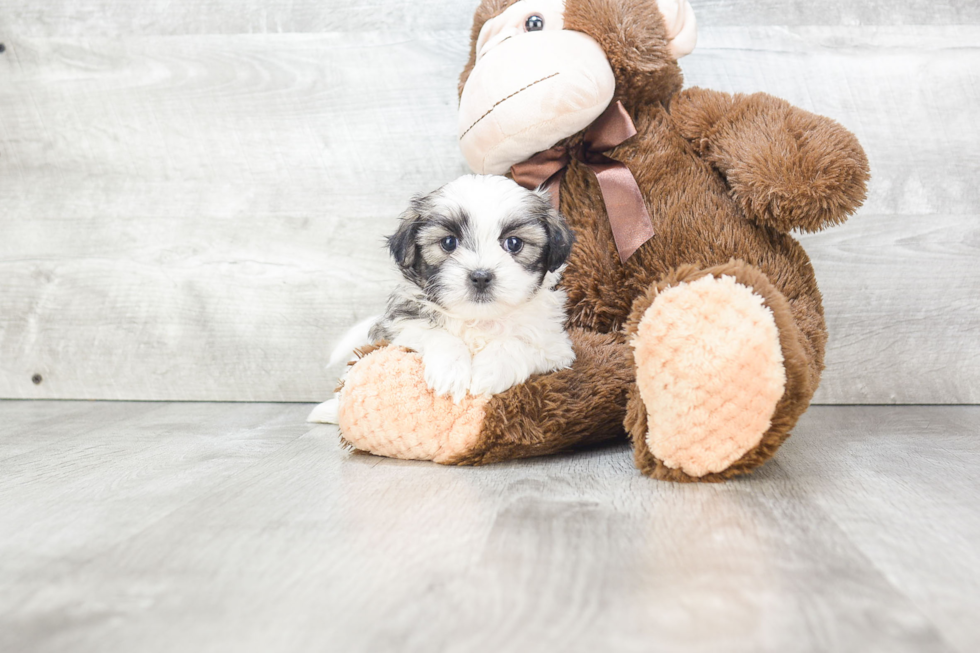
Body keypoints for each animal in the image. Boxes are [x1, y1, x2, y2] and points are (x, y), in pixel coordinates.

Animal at [372, 173, 580, 400]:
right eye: (449, 242)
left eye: (514, 243)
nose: (480, 277)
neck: (480, 319)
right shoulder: (397, 331)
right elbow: (435, 334)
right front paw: (450, 370)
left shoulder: (556, 346)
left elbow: (517, 342)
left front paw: (491, 370)